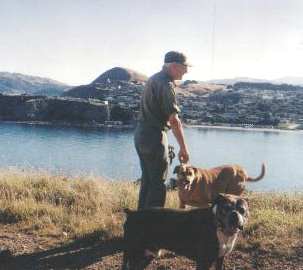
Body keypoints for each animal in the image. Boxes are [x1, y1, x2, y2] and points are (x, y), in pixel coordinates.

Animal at [122, 193, 251, 268]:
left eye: (242, 210)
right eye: (225, 208)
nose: (234, 214)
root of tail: (132, 213)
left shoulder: (220, 258)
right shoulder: (204, 261)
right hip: (133, 249)